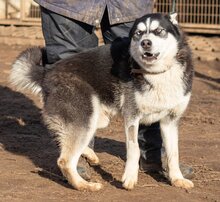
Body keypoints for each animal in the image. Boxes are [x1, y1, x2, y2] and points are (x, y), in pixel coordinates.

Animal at [9, 13, 194, 192]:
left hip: (96, 119)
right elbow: (134, 149)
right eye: (138, 33)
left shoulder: (170, 121)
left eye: (159, 31)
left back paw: (89, 155)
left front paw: (177, 179)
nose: (145, 43)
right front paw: (130, 178)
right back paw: (84, 185)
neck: (157, 73)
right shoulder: (132, 117)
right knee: (65, 161)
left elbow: (173, 153)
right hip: (85, 116)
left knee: (66, 141)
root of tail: (46, 73)